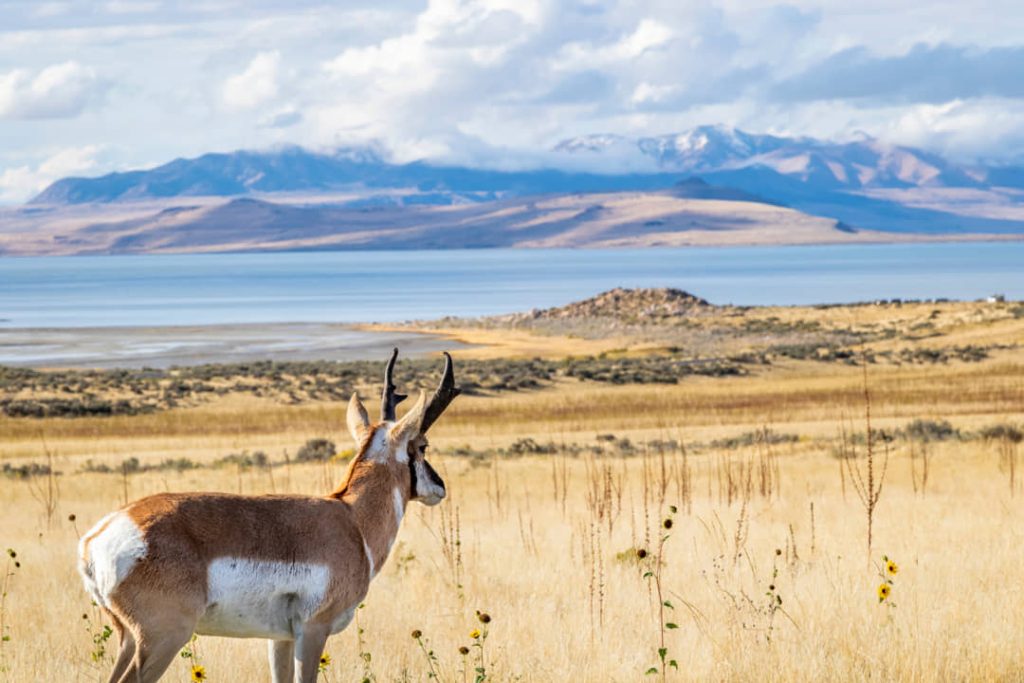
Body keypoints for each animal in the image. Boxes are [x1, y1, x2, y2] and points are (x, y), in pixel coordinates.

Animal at [78, 349, 460, 683]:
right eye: (422, 445)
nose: (440, 487)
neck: (352, 519)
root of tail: (97, 538)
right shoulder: (313, 631)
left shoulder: (280, 639)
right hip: (163, 639)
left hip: (129, 639)